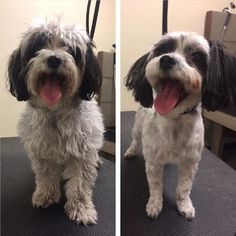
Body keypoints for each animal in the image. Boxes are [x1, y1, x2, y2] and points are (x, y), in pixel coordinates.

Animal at [7, 18, 104, 225]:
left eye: (71, 49)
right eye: (39, 45)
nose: (54, 59)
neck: (56, 112)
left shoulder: (83, 154)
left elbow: (80, 186)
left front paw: (81, 208)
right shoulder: (41, 152)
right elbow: (45, 176)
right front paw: (46, 195)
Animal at [124, 32, 236, 220]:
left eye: (196, 56)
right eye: (163, 50)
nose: (166, 60)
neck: (174, 119)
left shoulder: (190, 163)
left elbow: (183, 188)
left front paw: (184, 206)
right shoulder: (153, 161)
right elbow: (155, 186)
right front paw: (154, 204)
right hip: (137, 126)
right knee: (135, 140)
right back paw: (131, 151)